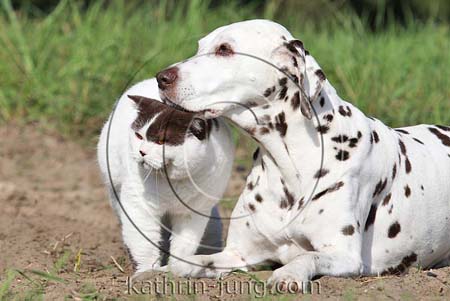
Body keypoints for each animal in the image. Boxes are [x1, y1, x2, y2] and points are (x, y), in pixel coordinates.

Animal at [96, 78, 234, 274]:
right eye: (139, 136)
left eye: (161, 141)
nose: (141, 152)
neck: (175, 183)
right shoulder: (139, 206)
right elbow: (144, 244)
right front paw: (147, 272)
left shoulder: (192, 213)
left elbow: (184, 245)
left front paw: (177, 269)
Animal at [155, 19, 450, 288]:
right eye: (200, 47)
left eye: (224, 49)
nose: (161, 77)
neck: (290, 165)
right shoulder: (238, 254)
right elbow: (188, 263)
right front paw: (161, 270)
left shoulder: (343, 255)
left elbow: (306, 257)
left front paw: (288, 274)